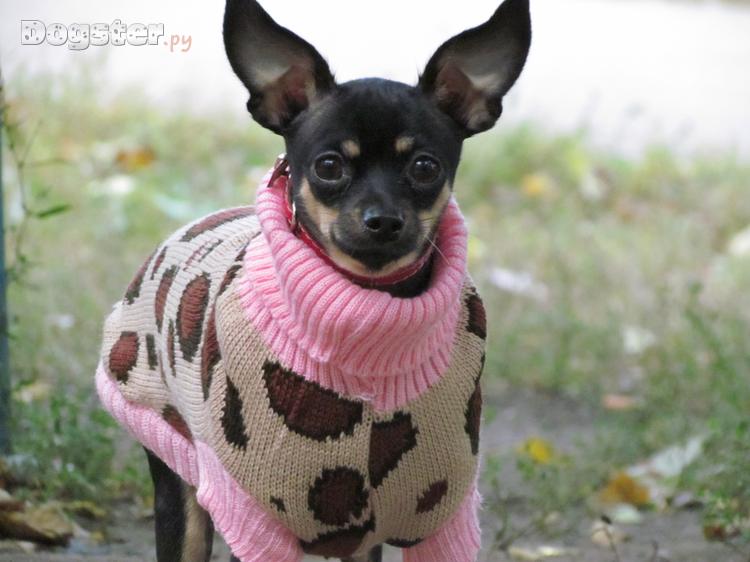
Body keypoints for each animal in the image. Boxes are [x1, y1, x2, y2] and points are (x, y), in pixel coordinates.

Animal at [96, 1, 530, 561]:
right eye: (328, 166)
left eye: (424, 167)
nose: (382, 220)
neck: (370, 312)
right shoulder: (254, 524)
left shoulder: (437, 525)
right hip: (179, 484)